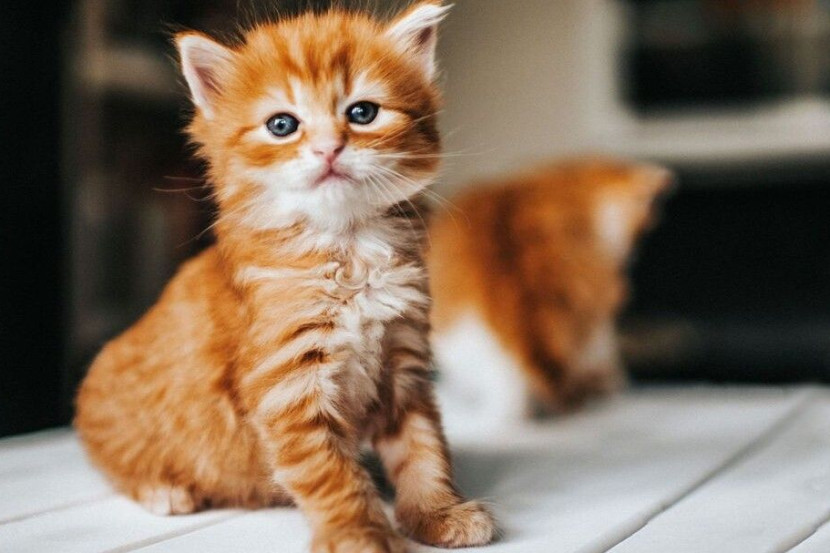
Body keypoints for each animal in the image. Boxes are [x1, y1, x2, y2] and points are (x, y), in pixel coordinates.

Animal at [74, 3, 496, 552]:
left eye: (362, 113)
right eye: (282, 125)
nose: (328, 149)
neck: (348, 250)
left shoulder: (404, 366)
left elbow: (423, 449)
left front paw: (436, 512)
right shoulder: (287, 385)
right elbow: (330, 474)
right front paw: (360, 535)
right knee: (120, 465)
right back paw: (164, 489)